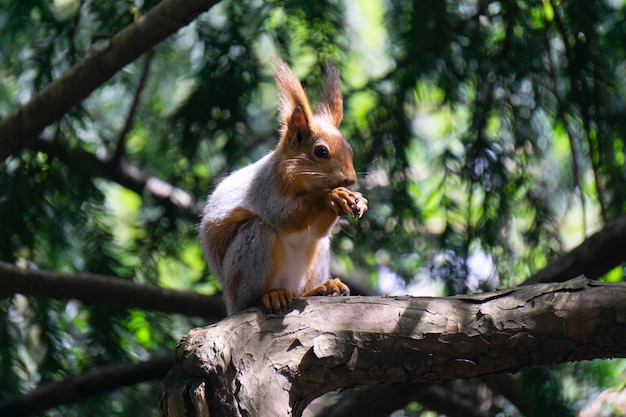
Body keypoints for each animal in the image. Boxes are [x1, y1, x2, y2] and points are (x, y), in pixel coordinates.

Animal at [200, 57, 366, 312]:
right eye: (320, 151)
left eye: (350, 150)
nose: (350, 179)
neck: (307, 185)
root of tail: (231, 305)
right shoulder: (266, 187)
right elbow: (285, 215)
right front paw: (332, 196)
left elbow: (317, 230)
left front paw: (359, 200)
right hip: (250, 253)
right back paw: (270, 295)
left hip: (317, 256)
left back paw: (323, 288)